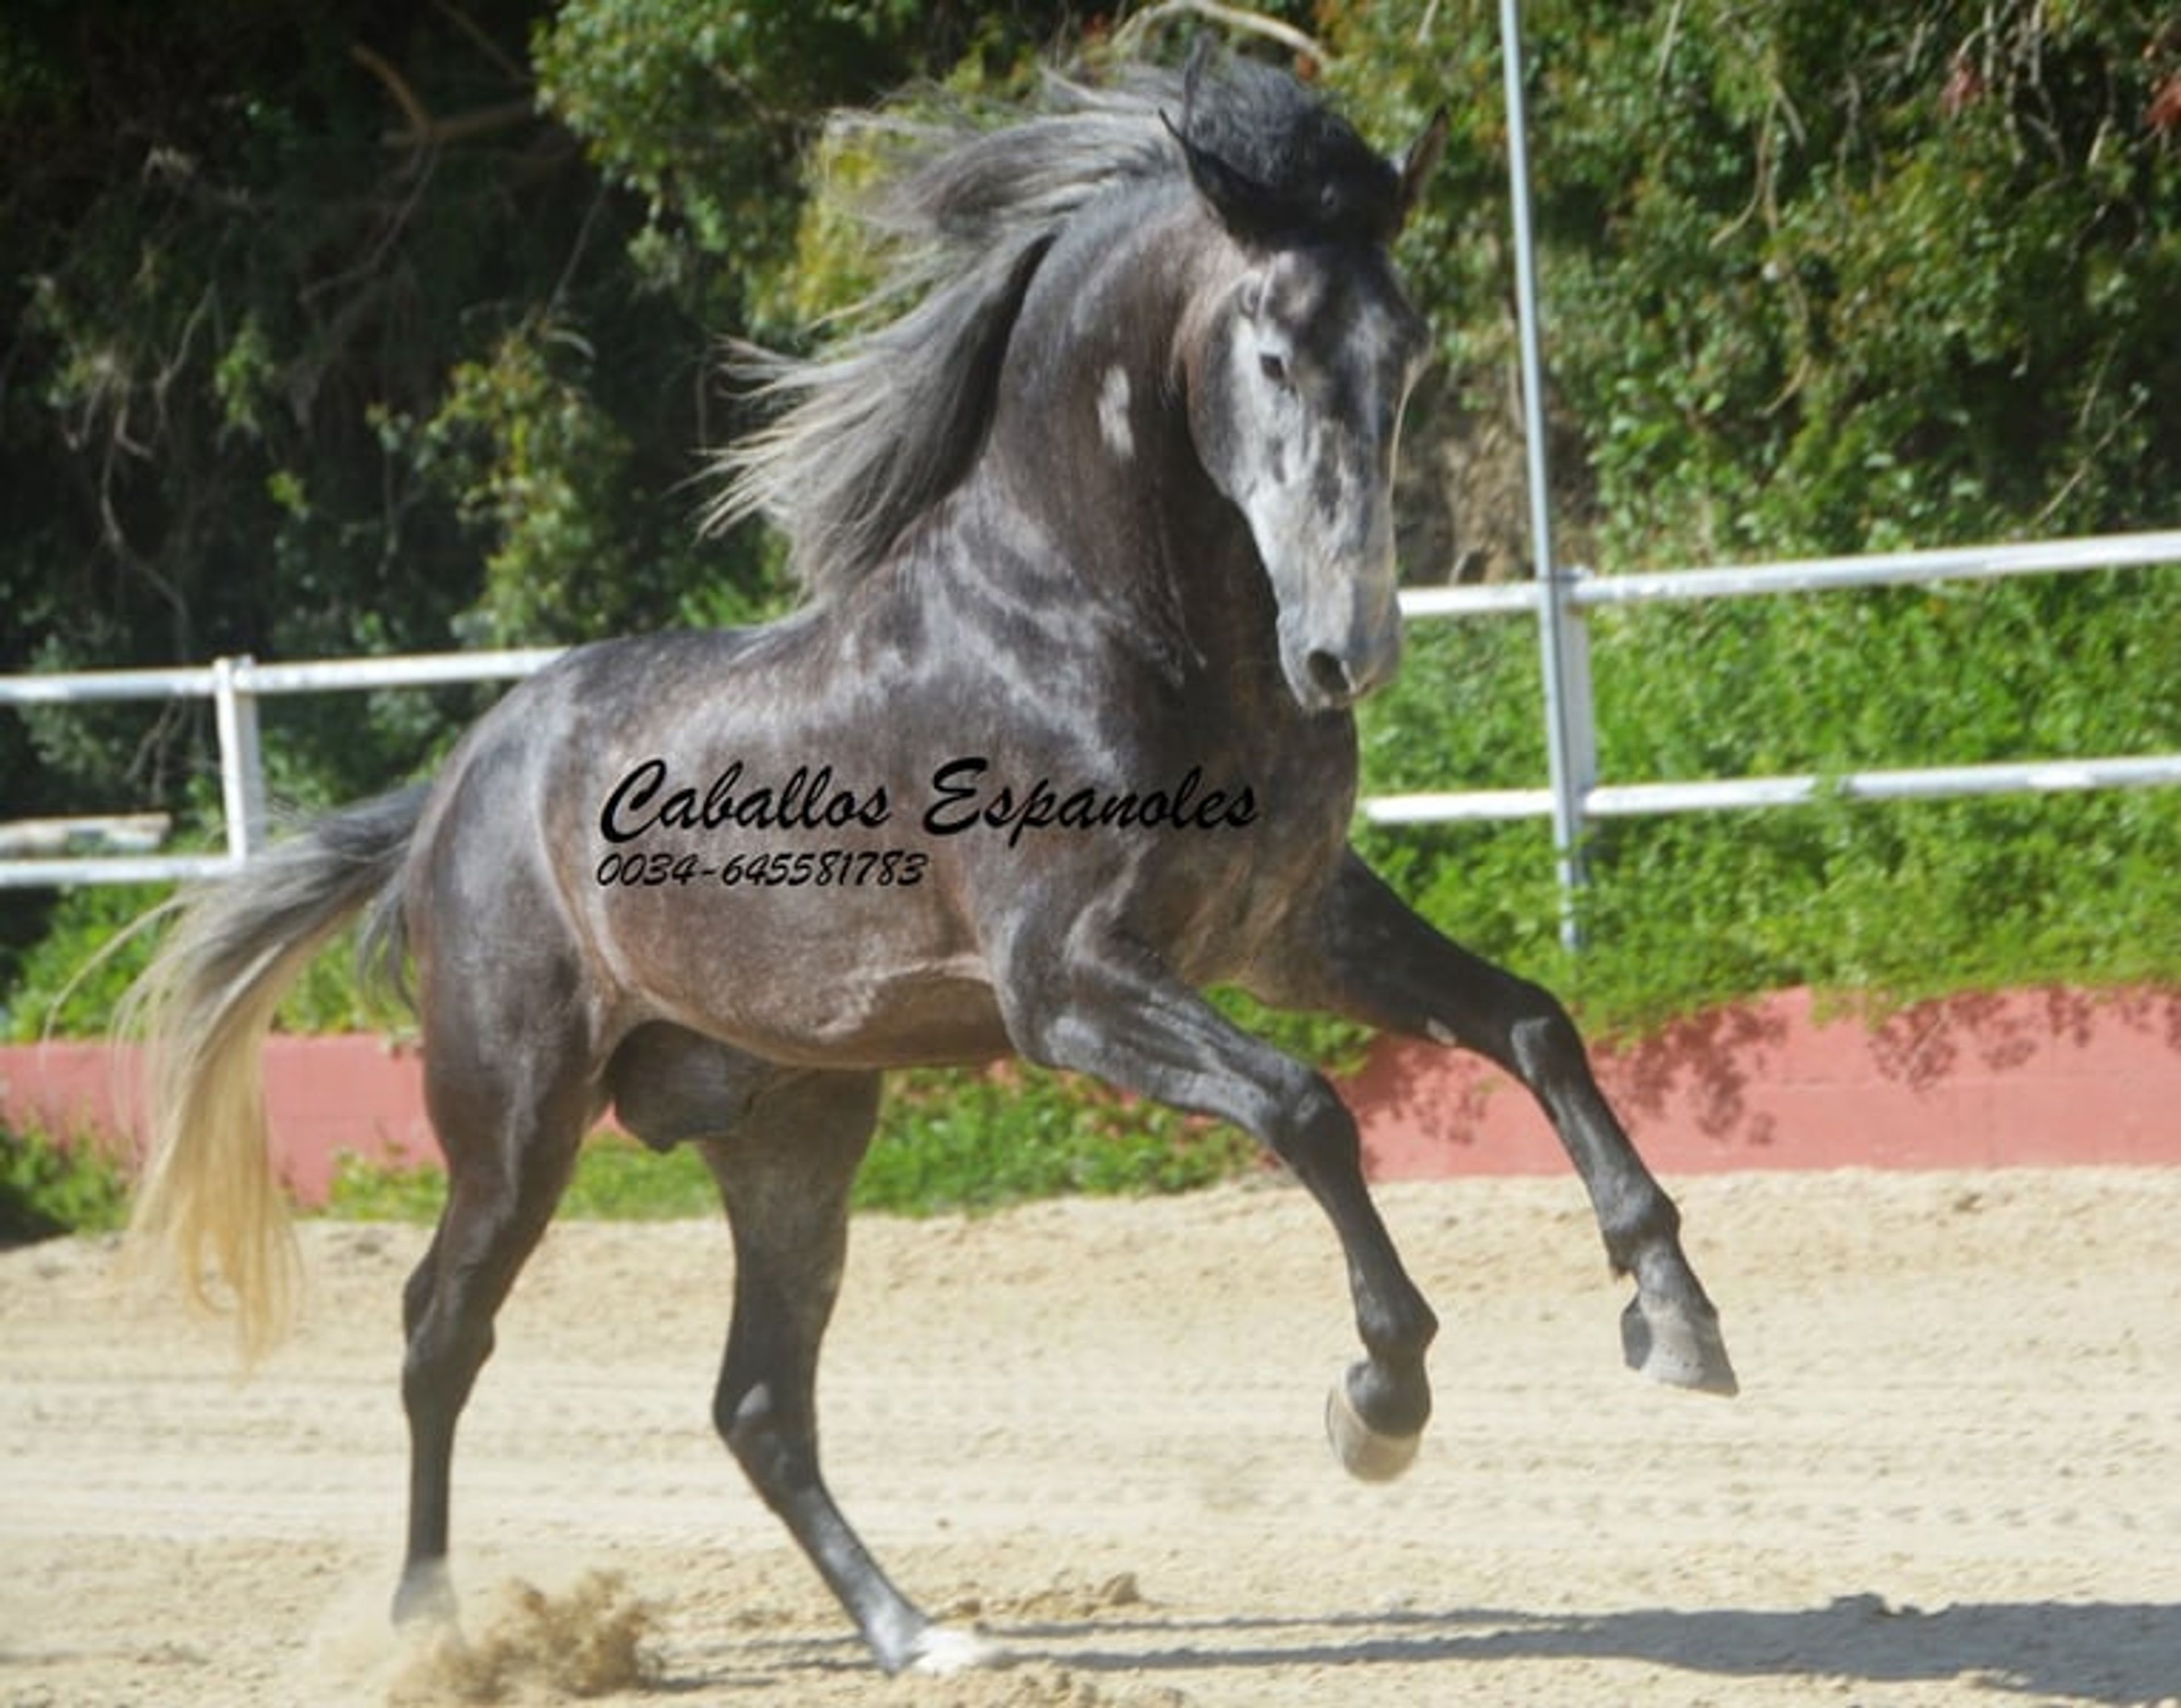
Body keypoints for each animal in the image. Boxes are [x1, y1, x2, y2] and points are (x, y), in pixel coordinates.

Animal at [122, 49, 1736, 1677]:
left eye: (1404, 350)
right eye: (1274, 354)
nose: (1348, 652)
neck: (1094, 623)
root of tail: (459, 782)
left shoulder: (1292, 929)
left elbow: (1530, 1020)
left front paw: (1675, 1315)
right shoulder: (1069, 989)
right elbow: (1308, 1108)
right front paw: (1378, 1406)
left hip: (794, 1132)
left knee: (758, 1403)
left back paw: (922, 1635)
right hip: (516, 1120)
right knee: (440, 1336)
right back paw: (431, 1630)